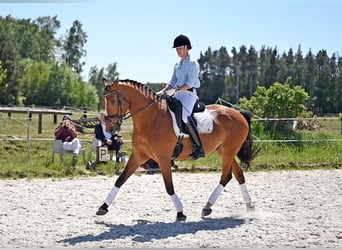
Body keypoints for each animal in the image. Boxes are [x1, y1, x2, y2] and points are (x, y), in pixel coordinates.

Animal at [95, 78, 256, 221]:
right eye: (104, 102)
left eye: (113, 101)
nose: (110, 128)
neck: (152, 118)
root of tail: (239, 113)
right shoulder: (139, 155)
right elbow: (120, 180)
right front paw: (103, 207)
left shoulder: (164, 159)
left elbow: (169, 186)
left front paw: (180, 213)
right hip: (223, 151)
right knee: (238, 175)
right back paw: (246, 206)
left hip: (228, 152)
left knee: (226, 177)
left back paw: (209, 207)